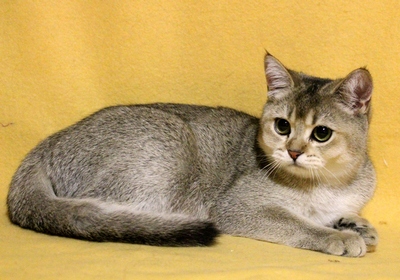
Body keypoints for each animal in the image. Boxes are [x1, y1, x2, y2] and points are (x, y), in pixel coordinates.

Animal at [7, 53, 378, 258]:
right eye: (282, 126)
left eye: (321, 133)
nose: (294, 152)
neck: (330, 183)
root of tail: (49, 143)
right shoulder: (237, 206)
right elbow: (297, 223)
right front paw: (338, 235)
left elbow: (336, 213)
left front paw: (355, 224)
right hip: (169, 143)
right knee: (92, 210)